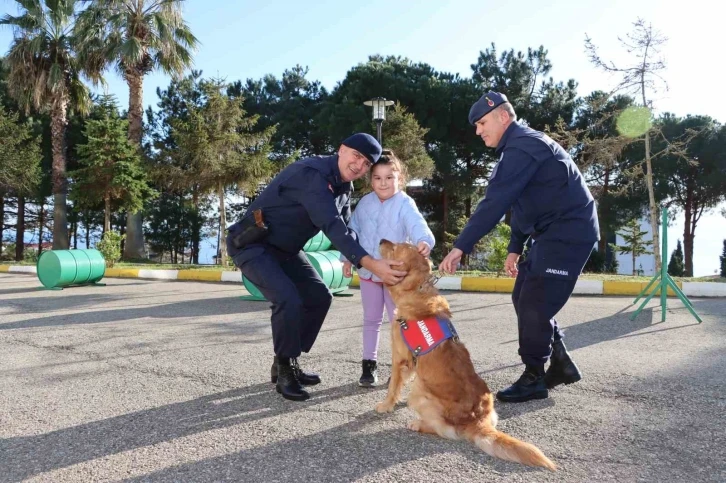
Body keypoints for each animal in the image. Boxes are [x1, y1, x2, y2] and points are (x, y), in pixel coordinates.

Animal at [376, 240, 556, 470]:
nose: (381, 240)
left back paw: (418, 424)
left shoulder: (399, 357)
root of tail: (477, 420)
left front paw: (385, 405)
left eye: (397, 247)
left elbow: (393, 387)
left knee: (443, 430)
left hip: (418, 393)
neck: (417, 291)